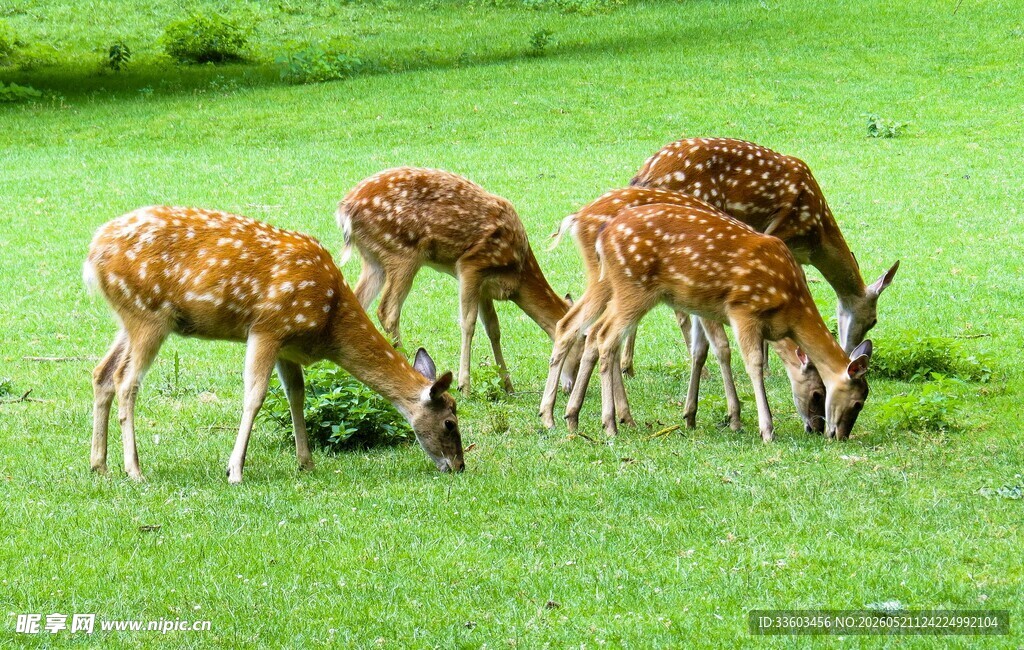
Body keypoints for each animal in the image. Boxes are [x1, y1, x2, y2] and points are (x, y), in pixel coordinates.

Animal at [84, 206, 464, 484]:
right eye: (450, 423)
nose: (459, 466)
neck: (328, 324)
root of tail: (92, 256)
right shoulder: (268, 327)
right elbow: (255, 396)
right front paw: (235, 471)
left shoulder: (287, 344)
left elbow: (296, 394)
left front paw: (306, 462)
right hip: (148, 315)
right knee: (125, 380)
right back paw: (134, 470)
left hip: (130, 318)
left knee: (102, 372)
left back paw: (99, 465)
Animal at [337, 167, 581, 395]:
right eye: (582, 339)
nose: (571, 386)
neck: (517, 273)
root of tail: (345, 209)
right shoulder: (471, 265)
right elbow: (468, 323)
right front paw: (465, 386)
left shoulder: (485, 286)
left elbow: (493, 328)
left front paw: (507, 384)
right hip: (402, 252)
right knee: (388, 311)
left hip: (373, 260)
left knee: (358, 302)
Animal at [563, 202, 872, 441]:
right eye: (819, 393)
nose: (830, 432)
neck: (790, 307)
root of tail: (603, 236)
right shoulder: (743, 309)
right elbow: (751, 363)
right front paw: (766, 430)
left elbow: (703, 351)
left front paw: (696, 417)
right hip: (634, 289)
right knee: (604, 336)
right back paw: (608, 424)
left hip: (620, 289)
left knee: (591, 331)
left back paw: (574, 418)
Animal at [630, 137, 899, 360]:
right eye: (874, 320)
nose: (851, 350)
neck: (815, 239)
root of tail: (644, 173)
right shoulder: (780, 232)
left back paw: (628, 365)